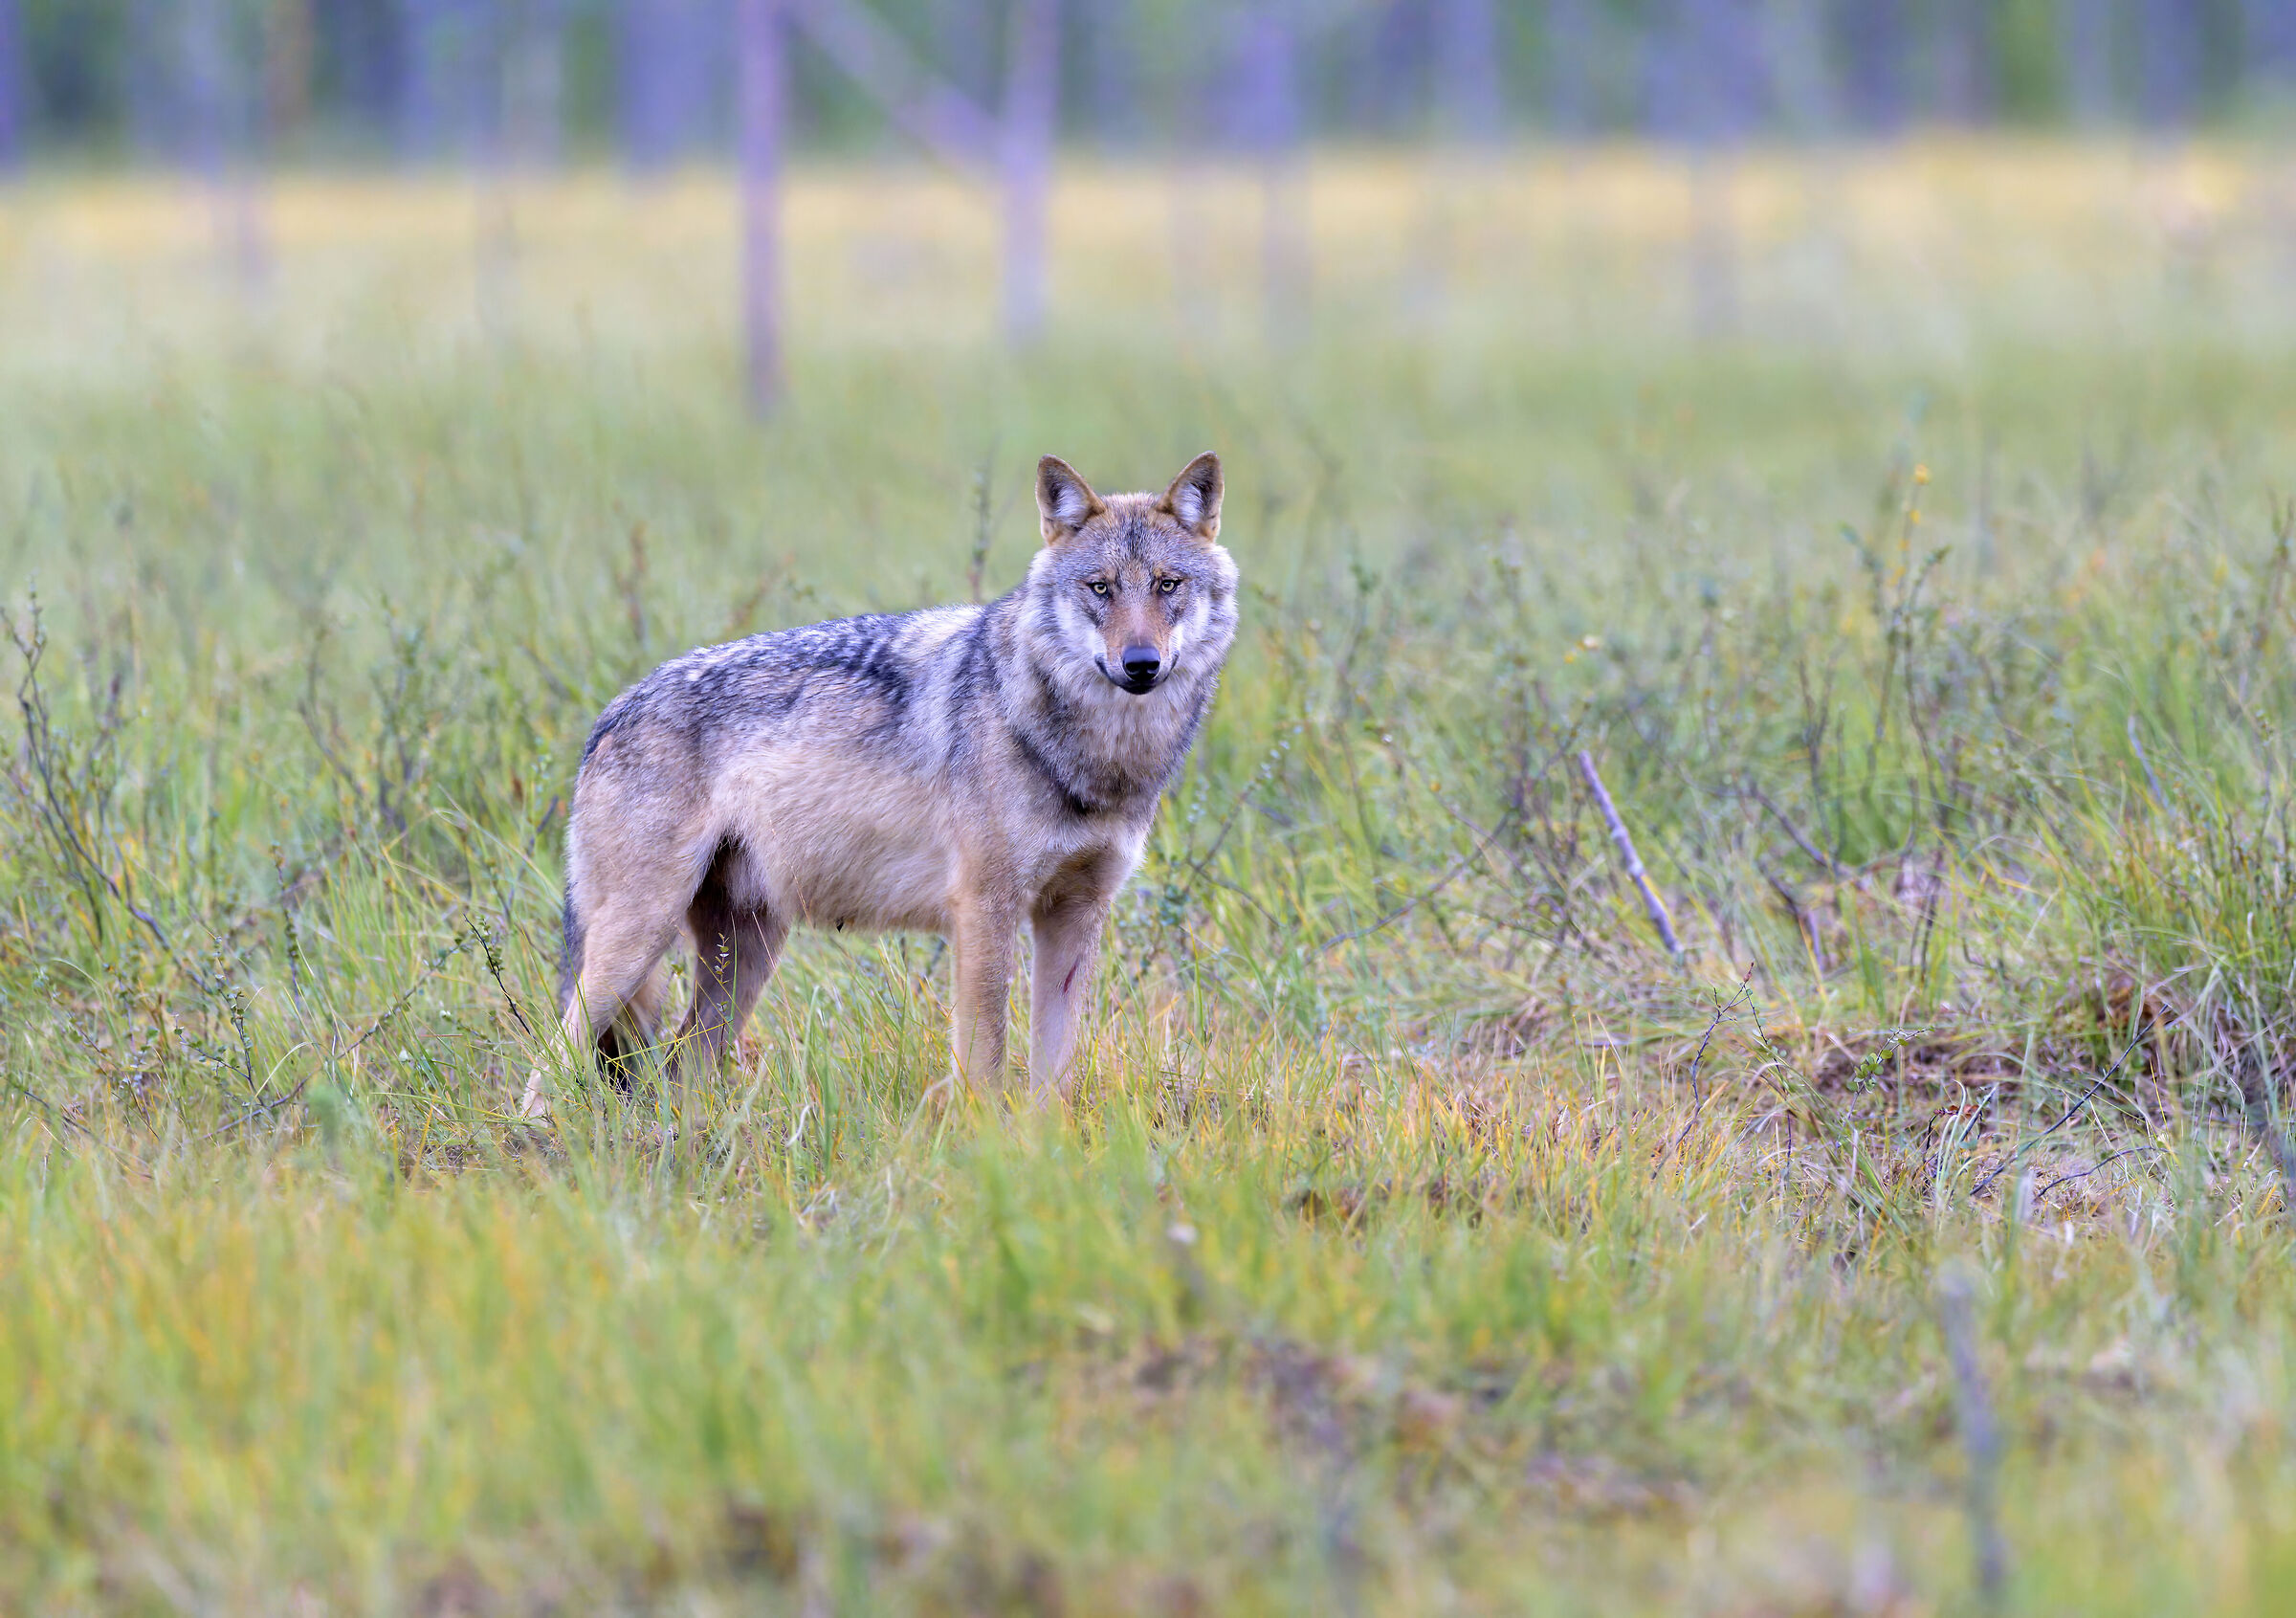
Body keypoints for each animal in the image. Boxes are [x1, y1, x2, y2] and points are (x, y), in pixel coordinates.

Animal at [519, 452, 1237, 1117]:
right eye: (1100, 588)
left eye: (1168, 584)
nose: (1140, 664)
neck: (1095, 758)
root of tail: (612, 711)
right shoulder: (984, 910)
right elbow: (986, 1057)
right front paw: (986, 1143)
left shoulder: (1077, 913)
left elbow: (1052, 1074)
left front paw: (1042, 1145)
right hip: (636, 943)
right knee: (552, 1057)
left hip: (744, 953)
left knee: (681, 1066)